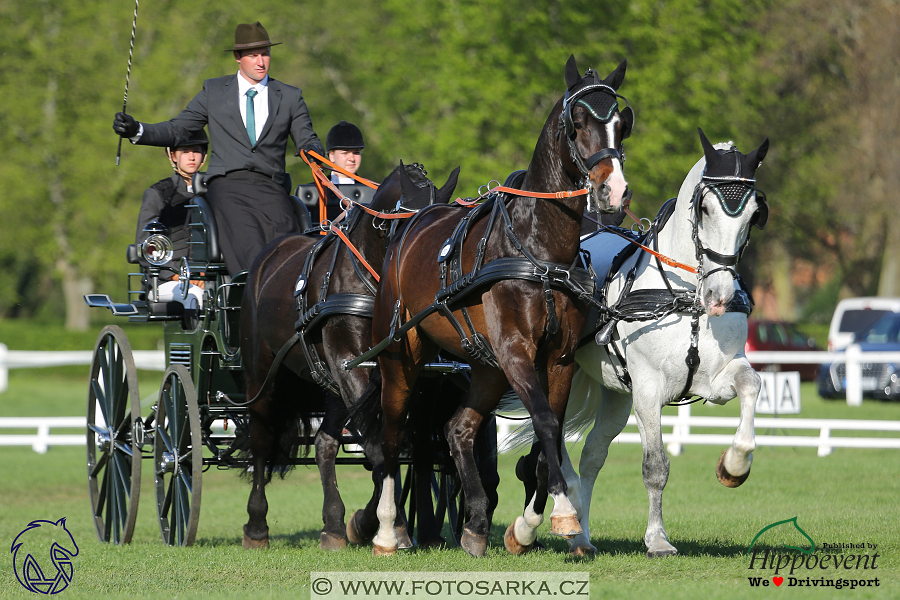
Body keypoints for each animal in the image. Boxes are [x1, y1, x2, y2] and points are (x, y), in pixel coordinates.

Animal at [237, 162, 458, 552]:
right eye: (404, 226)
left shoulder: (412, 376)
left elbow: (405, 446)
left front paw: (395, 524)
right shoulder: (349, 365)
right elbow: (378, 446)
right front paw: (382, 523)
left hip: (329, 381)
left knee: (325, 443)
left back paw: (334, 524)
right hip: (262, 373)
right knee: (261, 443)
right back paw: (257, 526)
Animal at [502, 130, 768, 556]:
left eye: (754, 213)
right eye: (705, 208)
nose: (720, 296)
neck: (686, 297)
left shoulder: (716, 379)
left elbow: (751, 384)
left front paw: (735, 465)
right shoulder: (648, 389)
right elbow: (655, 466)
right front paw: (657, 538)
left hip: (613, 393)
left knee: (592, 454)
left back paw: (581, 534)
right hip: (556, 373)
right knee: (552, 441)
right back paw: (542, 521)